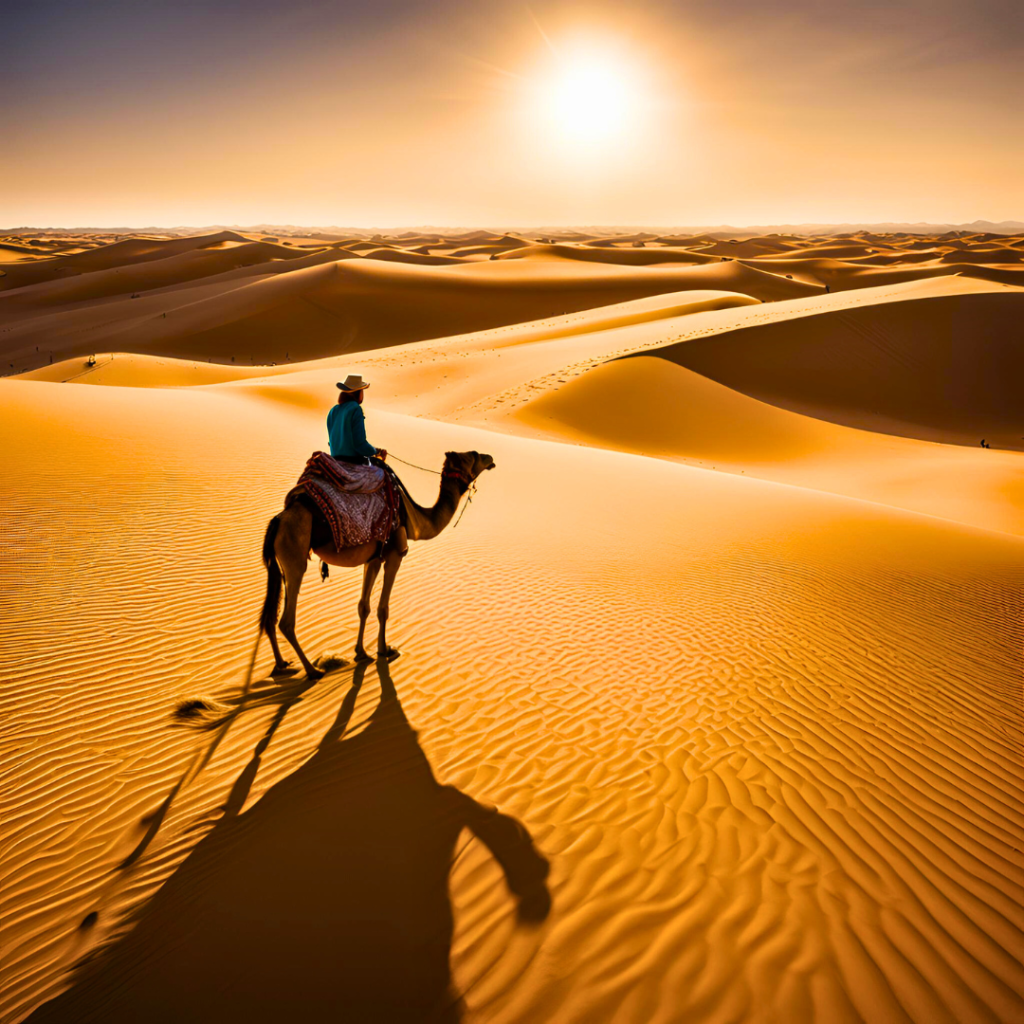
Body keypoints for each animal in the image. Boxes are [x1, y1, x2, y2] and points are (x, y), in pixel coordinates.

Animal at [258, 450, 493, 679]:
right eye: (474, 455)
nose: (490, 458)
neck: (416, 518)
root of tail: (279, 520)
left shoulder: (373, 559)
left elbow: (363, 606)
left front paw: (361, 652)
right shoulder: (395, 555)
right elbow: (382, 608)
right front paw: (384, 650)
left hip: (281, 565)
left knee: (270, 614)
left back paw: (282, 664)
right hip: (295, 558)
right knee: (286, 621)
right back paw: (312, 670)